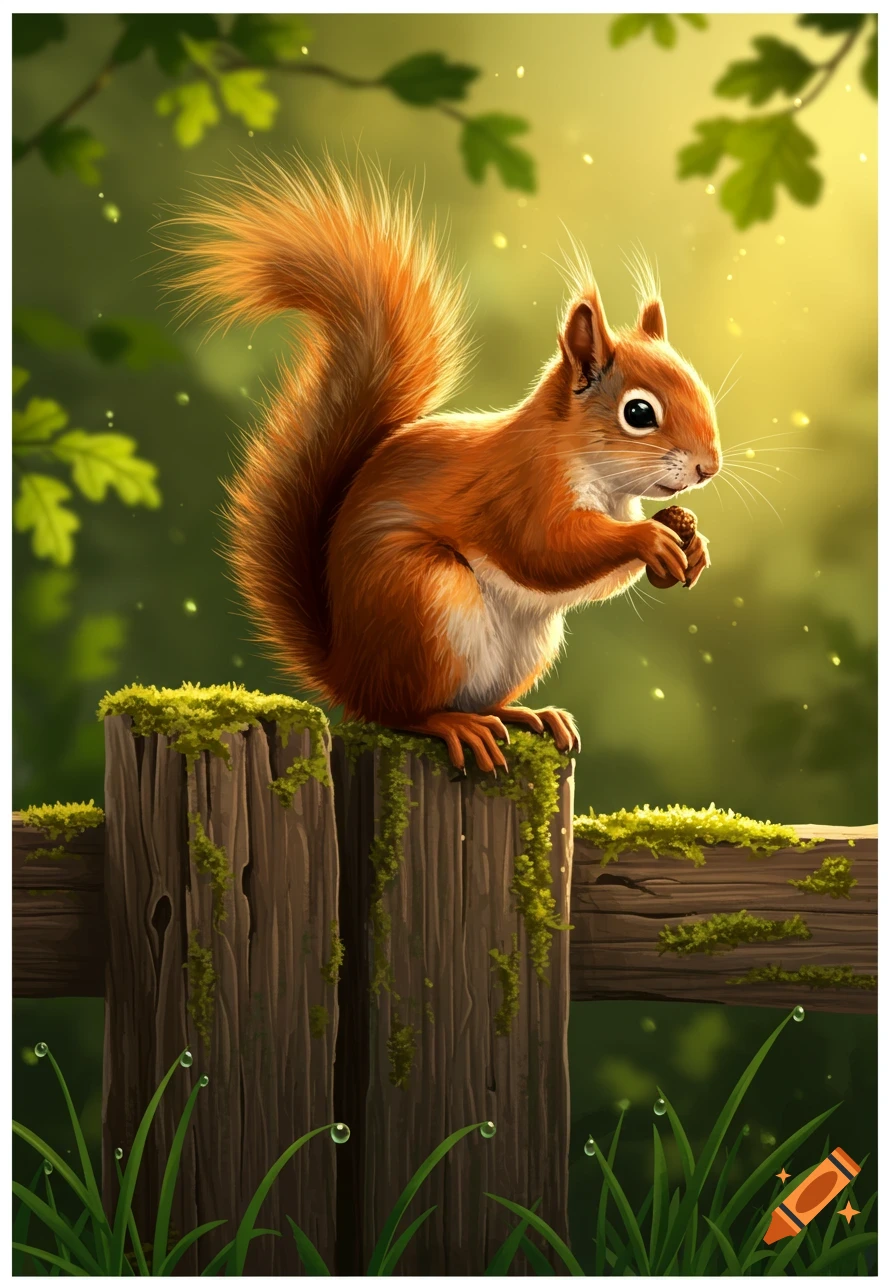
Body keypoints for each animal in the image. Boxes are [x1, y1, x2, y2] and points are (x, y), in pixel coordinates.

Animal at [165, 157, 721, 775]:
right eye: (639, 412)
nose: (709, 467)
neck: (597, 477)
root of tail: (347, 673)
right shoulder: (519, 490)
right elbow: (546, 551)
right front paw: (650, 539)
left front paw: (691, 542)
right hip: (424, 598)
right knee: (403, 712)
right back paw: (454, 725)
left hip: (526, 644)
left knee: (480, 700)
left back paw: (527, 714)